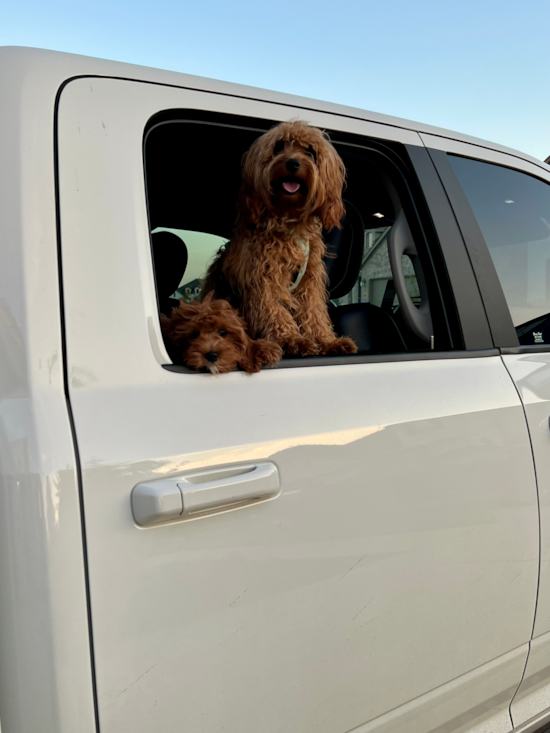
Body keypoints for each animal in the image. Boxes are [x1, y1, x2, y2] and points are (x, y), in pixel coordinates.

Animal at [202, 120, 358, 358]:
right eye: (279, 147)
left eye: (309, 151)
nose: (293, 163)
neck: (288, 220)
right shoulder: (264, 274)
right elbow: (273, 309)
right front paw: (291, 339)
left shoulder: (309, 278)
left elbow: (314, 310)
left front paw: (326, 340)